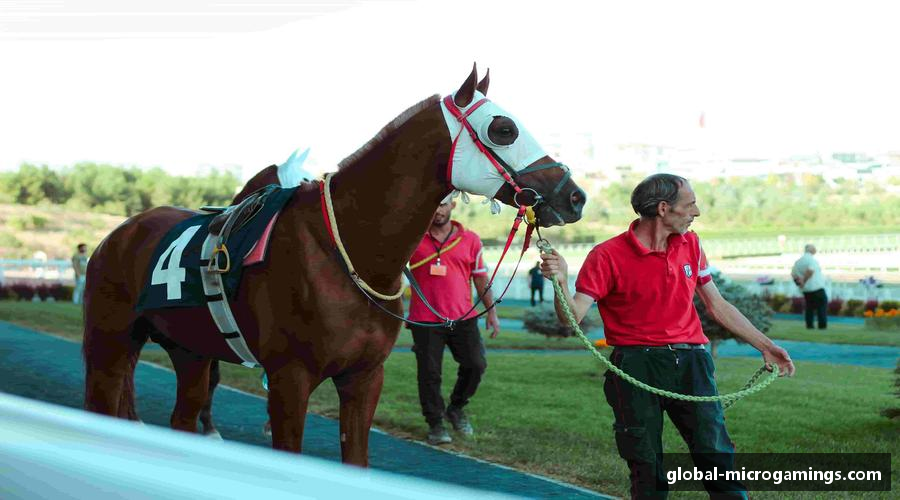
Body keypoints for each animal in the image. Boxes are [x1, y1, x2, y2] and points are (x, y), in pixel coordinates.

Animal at [81, 65, 588, 464]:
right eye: (503, 129)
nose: (574, 196)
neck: (344, 249)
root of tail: (121, 232)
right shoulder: (289, 379)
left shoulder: (364, 378)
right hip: (110, 344)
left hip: (191, 351)